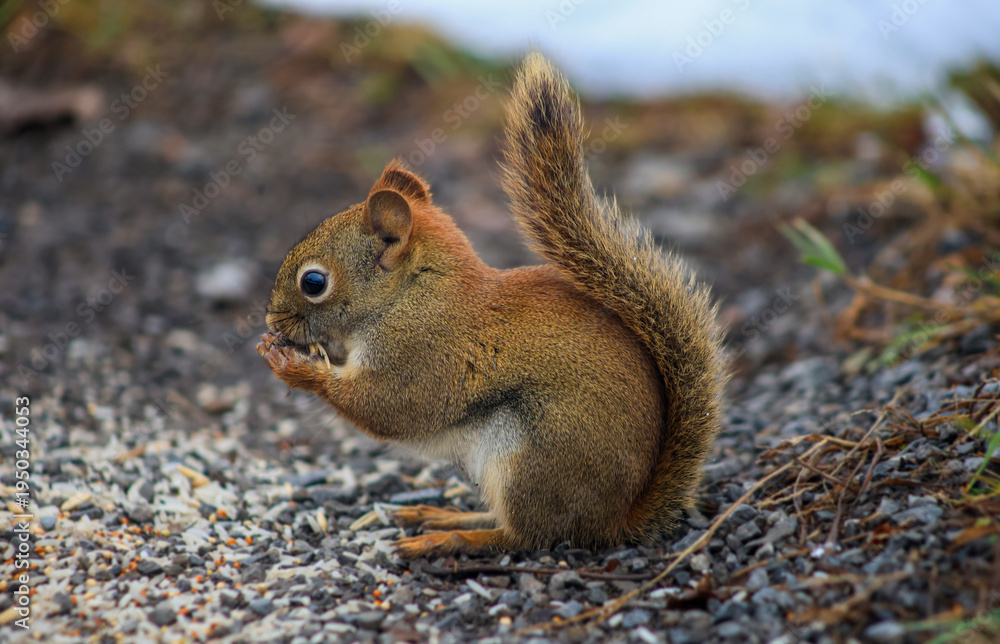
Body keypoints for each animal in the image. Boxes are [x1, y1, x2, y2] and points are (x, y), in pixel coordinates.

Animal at [258, 54, 726, 558]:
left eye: (314, 282)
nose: (270, 319)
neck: (410, 295)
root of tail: (615, 518)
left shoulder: (421, 355)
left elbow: (386, 407)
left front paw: (293, 366)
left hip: (529, 460)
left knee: (525, 534)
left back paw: (447, 537)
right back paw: (439, 515)